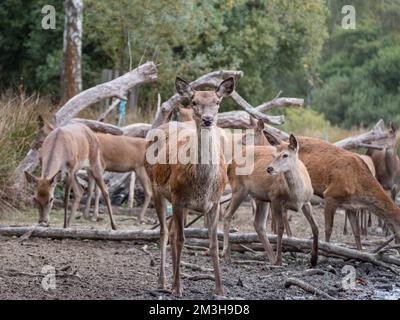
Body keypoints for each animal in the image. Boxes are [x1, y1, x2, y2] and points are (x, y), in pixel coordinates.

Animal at [145, 76, 234, 296]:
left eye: (217, 102)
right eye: (194, 102)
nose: (207, 119)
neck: (203, 185)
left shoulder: (214, 203)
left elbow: (213, 243)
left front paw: (219, 289)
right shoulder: (178, 198)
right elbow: (180, 240)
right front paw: (178, 289)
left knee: (171, 231)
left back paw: (173, 282)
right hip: (156, 189)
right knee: (164, 233)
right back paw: (165, 282)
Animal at [222, 134, 318, 266]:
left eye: (285, 155)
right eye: (273, 155)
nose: (269, 168)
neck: (297, 195)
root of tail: (230, 164)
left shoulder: (307, 202)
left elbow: (315, 226)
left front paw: (314, 259)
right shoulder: (275, 198)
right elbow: (280, 228)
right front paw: (279, 259)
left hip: (261, 197)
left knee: (258, 223)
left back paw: (271, 258)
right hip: (239, 188)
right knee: (227, 214)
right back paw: (226, 255)